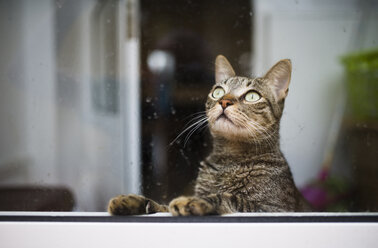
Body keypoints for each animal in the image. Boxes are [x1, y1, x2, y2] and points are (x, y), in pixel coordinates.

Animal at [108, 54, 312, 215]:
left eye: (252, 96)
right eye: (218, 92)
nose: (224, 102)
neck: (229, 160)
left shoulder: (273, 208)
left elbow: (230, 198)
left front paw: (191, 201)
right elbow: (162, 207)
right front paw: (133, 201)